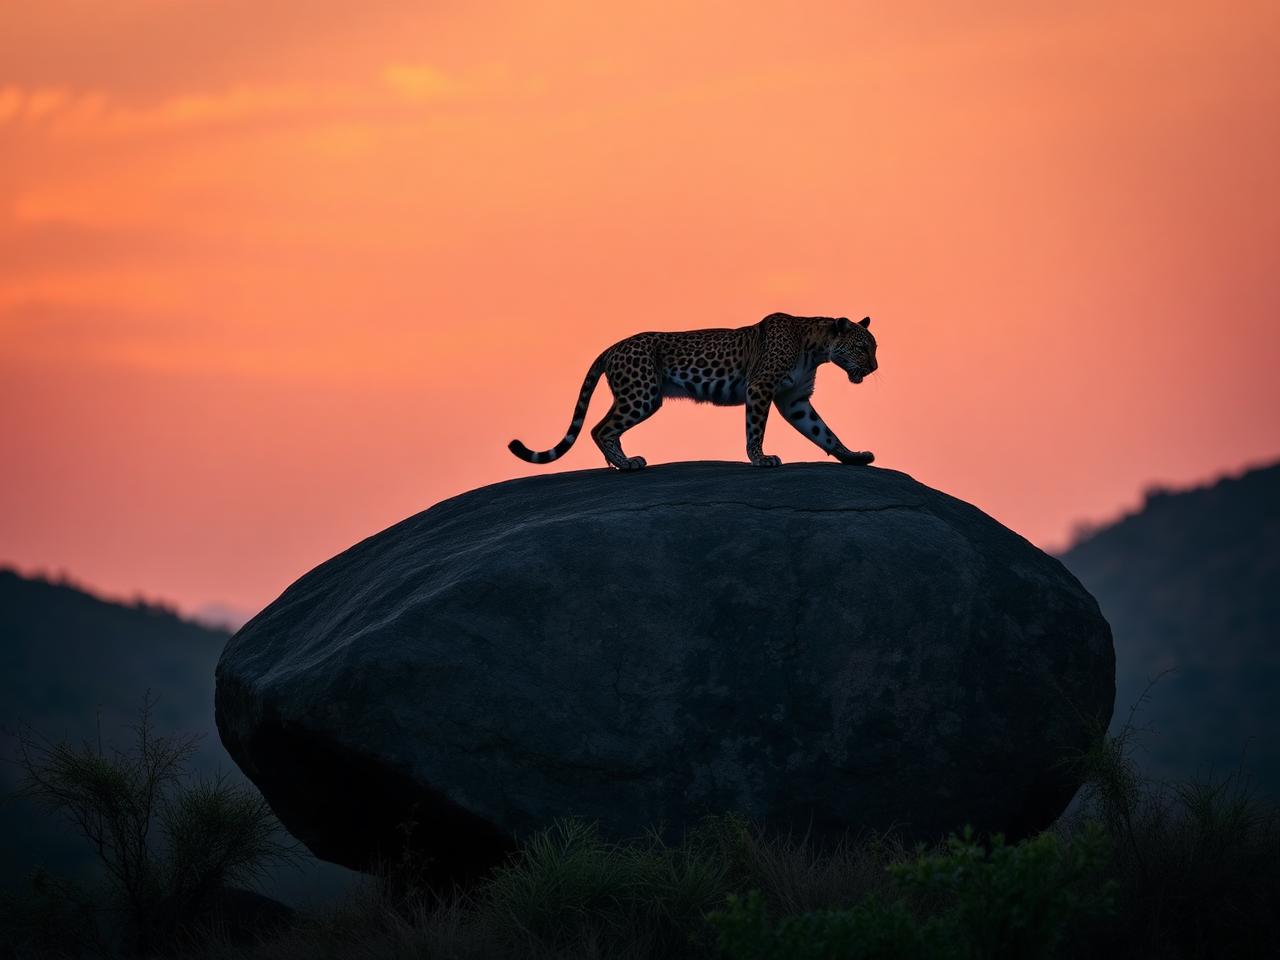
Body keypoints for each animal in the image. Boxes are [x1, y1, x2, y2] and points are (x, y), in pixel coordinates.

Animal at [509, 312, 878, 470]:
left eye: (874, 348)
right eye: (863, 348)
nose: (874, 368)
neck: (815, 348)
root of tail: (612, 347)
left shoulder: (795, 399)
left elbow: (824, 432)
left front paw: (852, 456)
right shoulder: (760, 386)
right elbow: (755, 428)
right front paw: (760, 458)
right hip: (642, 393)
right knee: (600, 428)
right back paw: (626, 463)